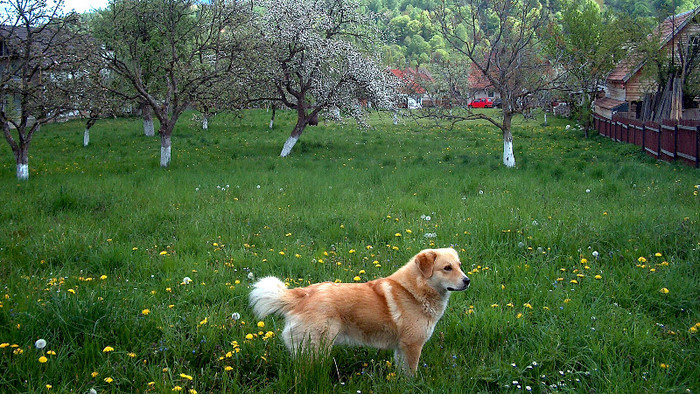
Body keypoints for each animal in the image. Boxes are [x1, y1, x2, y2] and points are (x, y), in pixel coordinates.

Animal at [247, 248, 470, 374]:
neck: (416, 290)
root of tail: (303, 294)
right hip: (316, 350)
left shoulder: (402, 347)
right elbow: (411, 374)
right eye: (447, 268)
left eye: (460, 266)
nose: (467, 281)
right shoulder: (412, 345)